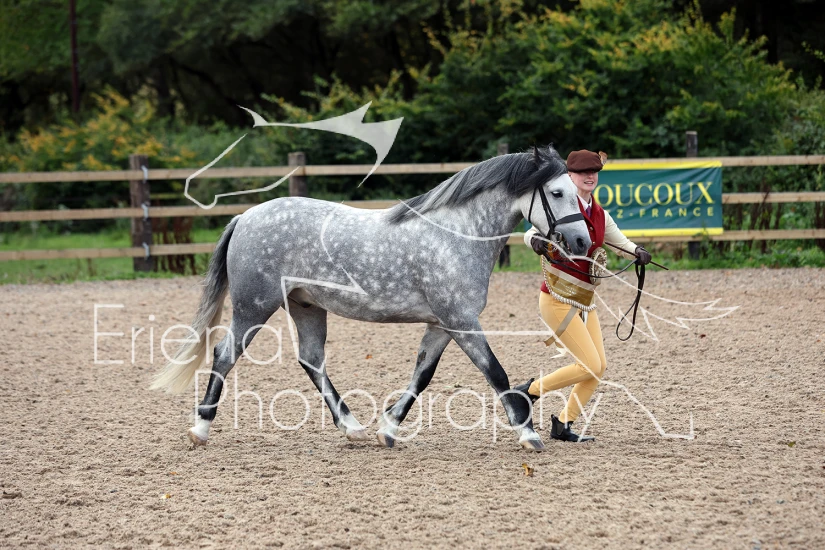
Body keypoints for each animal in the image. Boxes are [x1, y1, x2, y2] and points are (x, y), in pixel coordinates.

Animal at [150, 145, 591, 451]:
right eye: (556, 192)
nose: (582, 242)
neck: (456, 234)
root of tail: (245, 217)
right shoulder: (461, 321)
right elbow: (495, 373)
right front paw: (527, 433)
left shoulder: (442, 324)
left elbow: (422, 375)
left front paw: (387, 429)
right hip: (254, 306)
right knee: (226, 354)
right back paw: (200, 429)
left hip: (305, 306)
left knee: (311, 359)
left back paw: (353, 428)